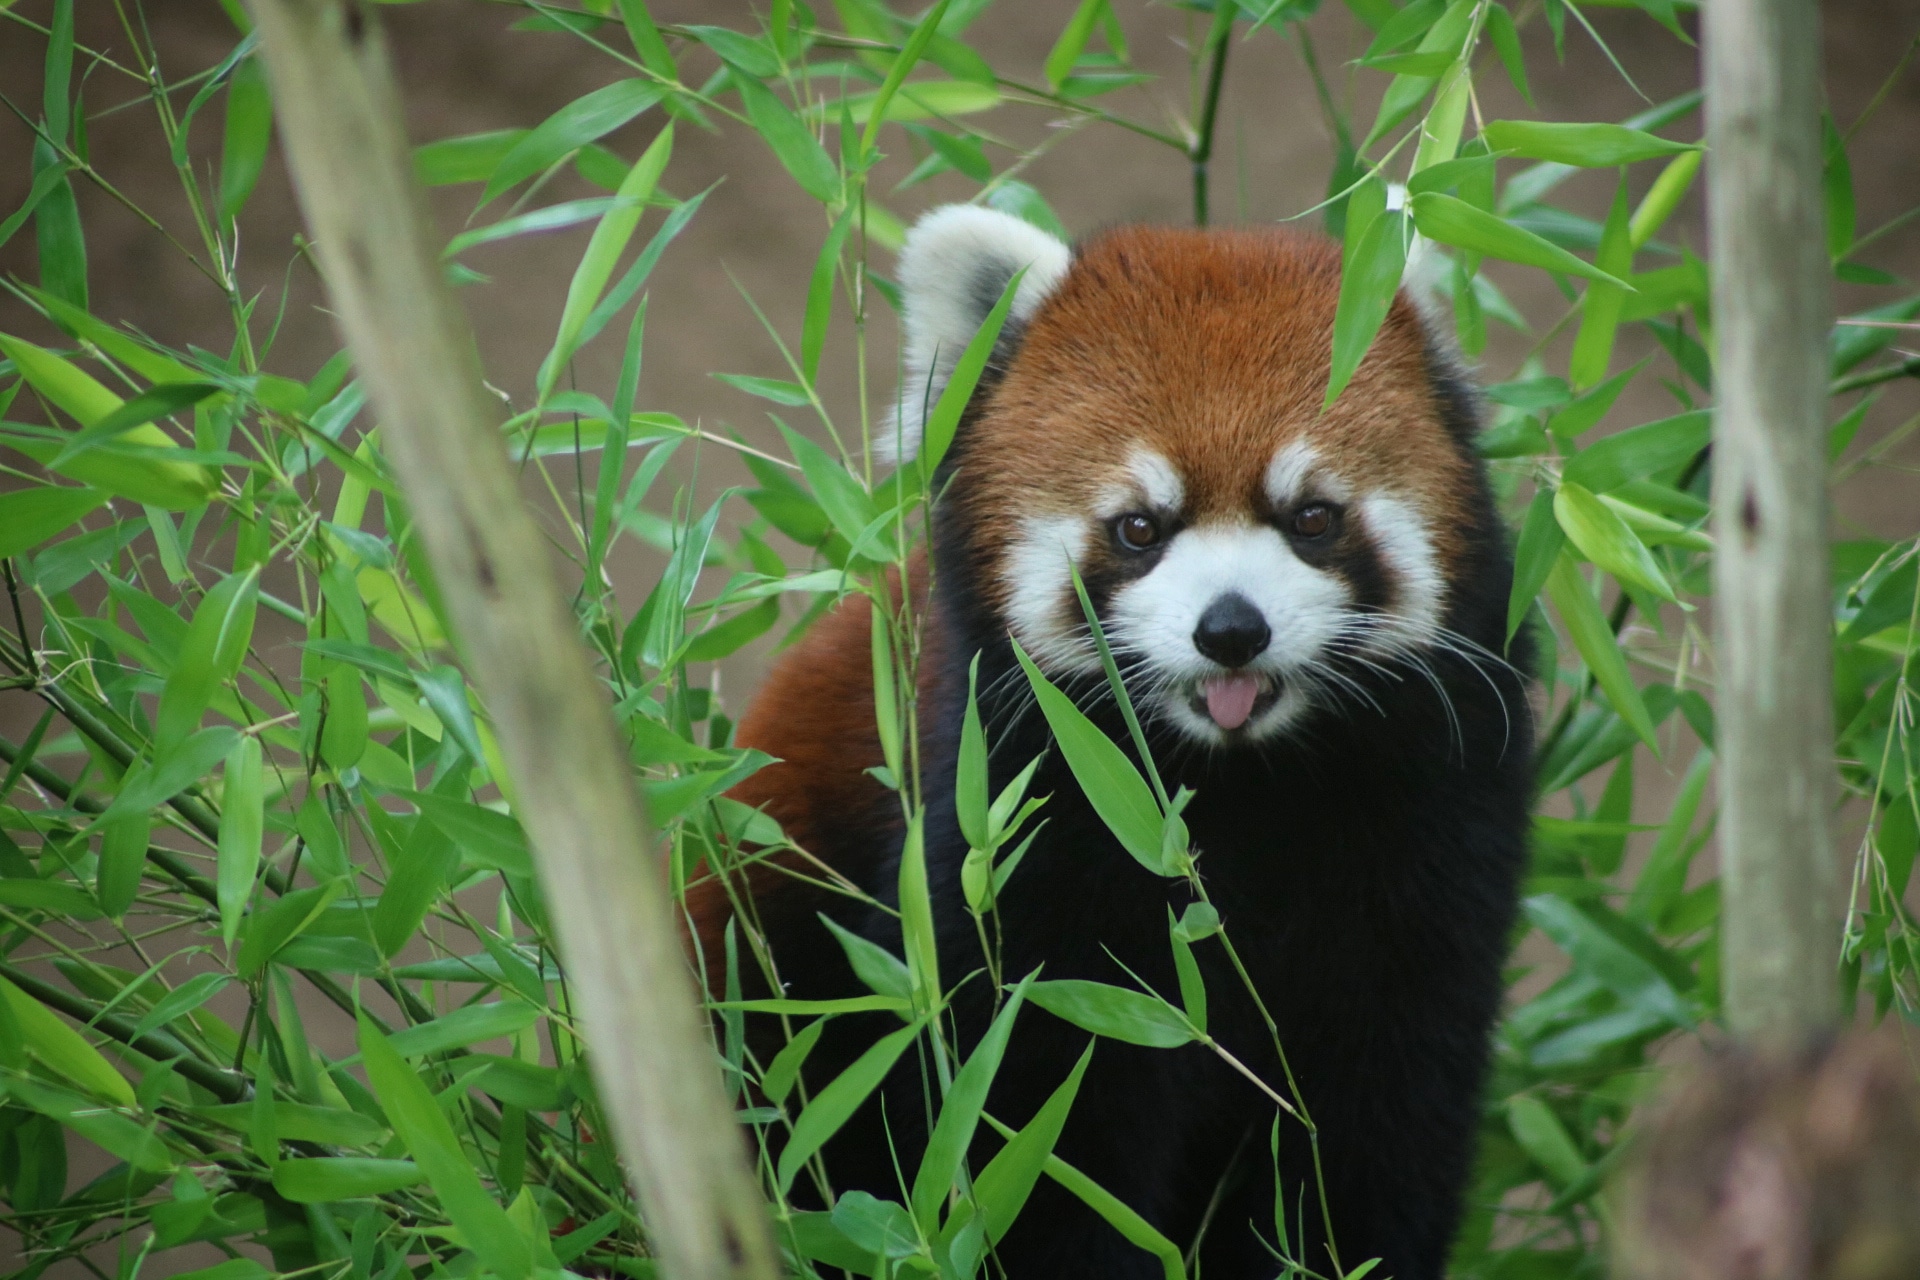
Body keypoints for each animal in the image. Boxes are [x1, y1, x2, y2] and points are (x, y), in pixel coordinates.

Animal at [688, 206, 1533, 1279]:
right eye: (1139, 527)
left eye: (1312, 517)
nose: (1231, 629)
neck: (1230, 789)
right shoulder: (1004, 821)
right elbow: (1031, 1115)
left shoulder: (1438, 832)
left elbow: (1383, 1118)